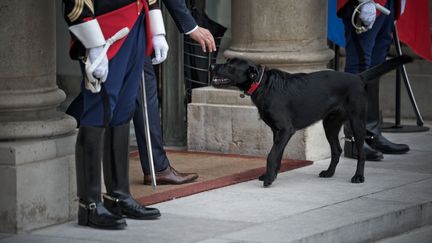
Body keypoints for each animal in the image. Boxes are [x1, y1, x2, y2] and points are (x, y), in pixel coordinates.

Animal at [211, 56, 414, 187]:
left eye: (230, 66)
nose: (212, 64)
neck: (263, 84)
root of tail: (358, 77)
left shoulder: (285, 129)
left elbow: (271, 155)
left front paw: (268, 179)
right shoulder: (278, 132)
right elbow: (277, 155)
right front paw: (271, 175)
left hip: (357, 122)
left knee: (361, 153)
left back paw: (358, 177)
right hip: (330, 124)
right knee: (336, 149)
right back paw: (329, 173)